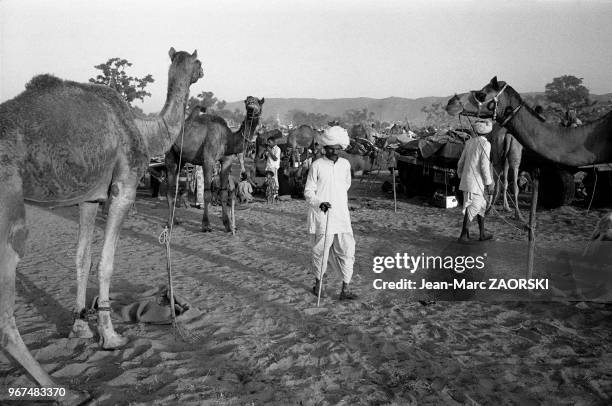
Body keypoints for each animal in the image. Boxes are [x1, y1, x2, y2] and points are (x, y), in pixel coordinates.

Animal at [0, 47, 204, 400]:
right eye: (197, 62)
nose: (201, 71)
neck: (143, 130)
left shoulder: (89, 198)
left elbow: (82, 259)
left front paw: (81, 327)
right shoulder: (124, 188)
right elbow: (106, 263)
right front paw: (110, 336)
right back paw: (63, 392)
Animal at [165, 95, 262, 233]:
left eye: (260, 102)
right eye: (247, 101)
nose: (251, 102)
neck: (227, 138)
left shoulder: (227, 161)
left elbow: (224, 193)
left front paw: (228, 225)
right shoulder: (208, 160)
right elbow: (207, 194)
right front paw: (206, 225)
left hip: (181, 159)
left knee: (175, 187)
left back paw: (175, 220)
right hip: (170, 155)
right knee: (170, 189)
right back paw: (169, 223)